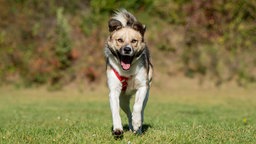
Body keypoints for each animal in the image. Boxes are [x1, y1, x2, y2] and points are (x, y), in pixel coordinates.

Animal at [104, 9, 153, 137]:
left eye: (134, 41)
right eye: (120, 40)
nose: (127, 49)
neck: (127, 71)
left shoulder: (142, 86)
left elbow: (137, 106)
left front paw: (137, 123)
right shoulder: (114, 91)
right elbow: (115, 112)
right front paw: (117, 129)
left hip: (147, 94)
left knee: (141, 110)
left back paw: (138, 128)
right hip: (123, 100)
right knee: (128, 112)